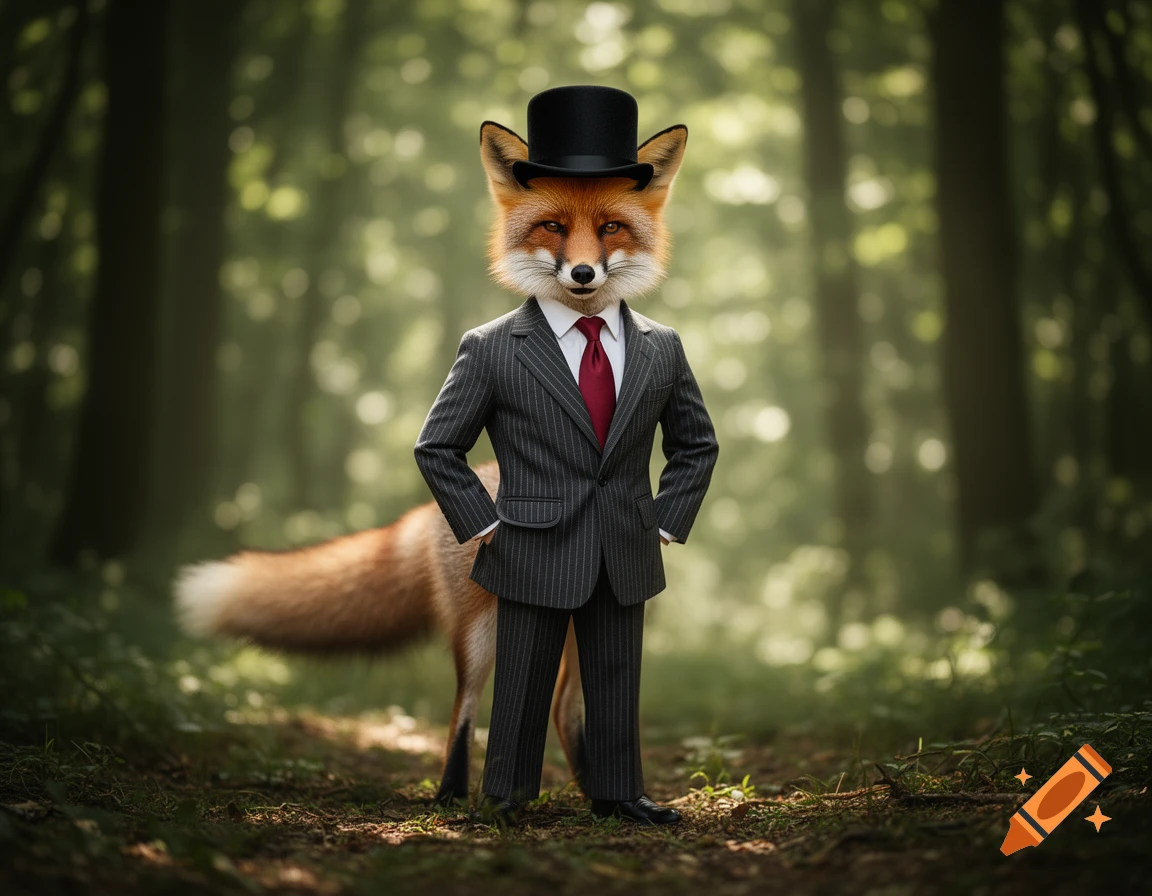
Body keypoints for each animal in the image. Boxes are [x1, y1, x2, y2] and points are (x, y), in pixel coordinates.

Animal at [173, 116, 689, 806]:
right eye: (552, 225)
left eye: (611, 228)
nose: (583, 274)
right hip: (482, 633)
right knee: (464, 711)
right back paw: (459, 797)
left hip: (584, 620)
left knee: (563, 709)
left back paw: (598, 798)